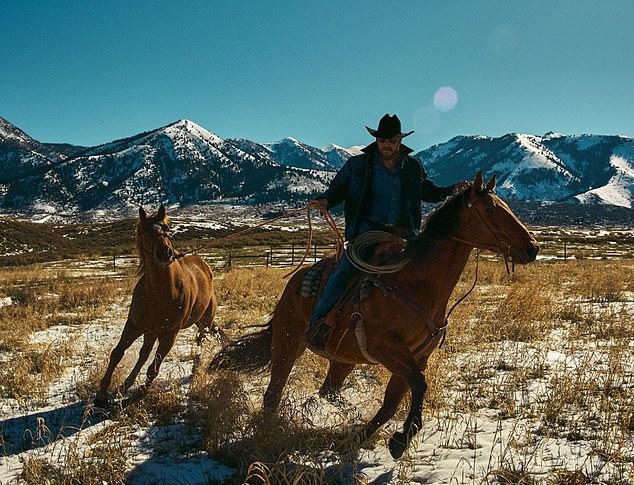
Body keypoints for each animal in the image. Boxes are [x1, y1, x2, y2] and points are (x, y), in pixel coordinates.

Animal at [95, 202, 218, 402]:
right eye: (145, 231)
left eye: (167, 229)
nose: (165, 253)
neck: (159, 294)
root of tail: (204, 265)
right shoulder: (134, 325)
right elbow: (117, 353)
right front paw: (102, 393)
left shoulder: (169, 335)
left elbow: (153, 369)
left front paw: (140, 394)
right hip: (150, 331)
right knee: (143, 353)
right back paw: (125, 385)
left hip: (202, 324)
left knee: (200, 340)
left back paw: (195, 368)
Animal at [210, 173, 536, 458]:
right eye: (491, 210)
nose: (532, 248)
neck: (414, 283)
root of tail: (294, 283)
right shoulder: (386, 349)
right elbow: (418, 384)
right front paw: (401, 439)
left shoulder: (418, 355)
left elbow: (394, 400)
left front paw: (367, 439)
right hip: (288, 343)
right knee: (273, 394)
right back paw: (265, 435)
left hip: (343, 358)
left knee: (327, 390)